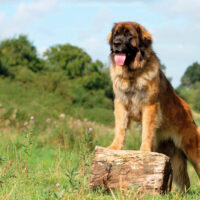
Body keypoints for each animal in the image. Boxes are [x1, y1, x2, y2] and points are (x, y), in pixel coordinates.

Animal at [107, 21, 200, 191]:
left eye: (128, 35)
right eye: (116, 34)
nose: (116, 43)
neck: (133, 75)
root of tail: (189, 112)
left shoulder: (149, 106)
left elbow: (146, 131)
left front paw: (144, 151)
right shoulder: (121, 104)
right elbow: (120, 128)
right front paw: (114, 147)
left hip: (193, 151)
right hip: (173, 159)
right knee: (184, 182)